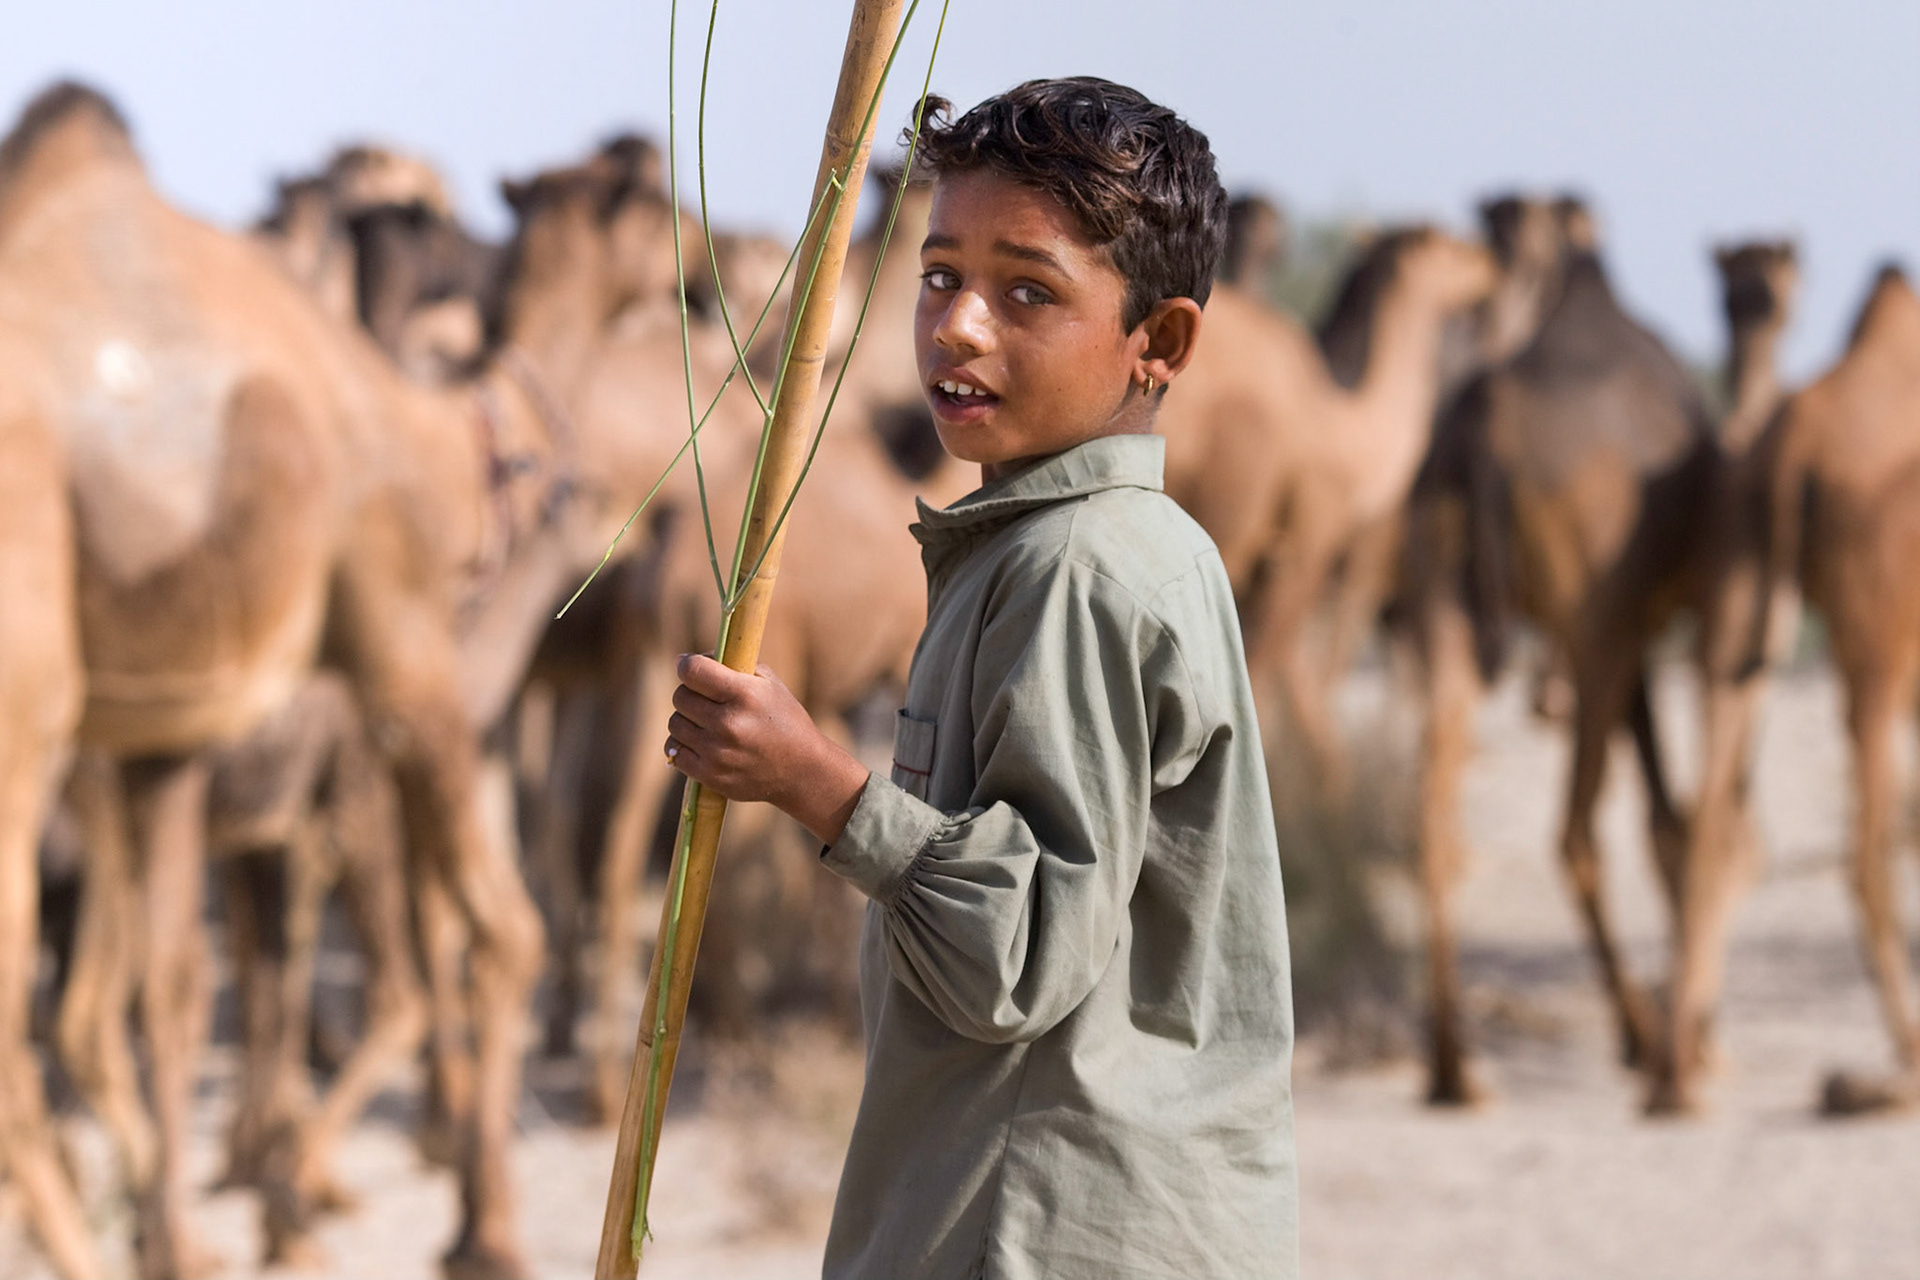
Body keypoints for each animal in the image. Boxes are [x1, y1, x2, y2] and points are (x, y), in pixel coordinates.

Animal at [0, 84, 695, 1279]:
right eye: (651, 200)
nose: (700, 249)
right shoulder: (398, 661)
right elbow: (489, 939)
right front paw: (479, 1226)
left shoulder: (179, 743)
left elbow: (182, 992)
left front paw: (202, 1229)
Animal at [1400, 197, 1723, 1106]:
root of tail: (1488, 415)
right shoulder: (1640, 617)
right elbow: (1667, 819)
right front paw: (1696, 1039)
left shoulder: (1629, 630)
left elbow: (1665, 816)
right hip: (1592, 627)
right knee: (1576, 830)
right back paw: (1642, 1036)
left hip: (1441, 606)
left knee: (1431, 814)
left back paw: (1453, 1067)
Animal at [1660, 260, 1920, 1118]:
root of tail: (1799, 440)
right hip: (1875, 649)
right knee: (1864, 852)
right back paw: (1899, 1063)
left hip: (1742, 612)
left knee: (1710, 819)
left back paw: (1676, 1081)